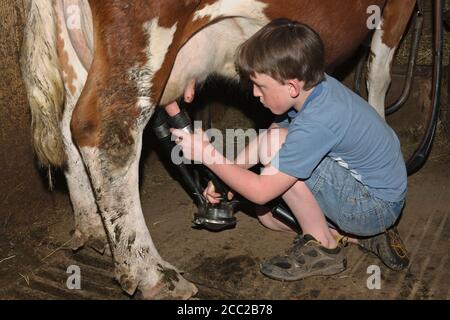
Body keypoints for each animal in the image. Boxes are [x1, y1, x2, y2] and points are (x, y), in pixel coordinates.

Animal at [20, 0, 414, 300]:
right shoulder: (397, 7)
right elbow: (379, 75)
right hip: (142, 40)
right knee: (107, 131)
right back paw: (153, 274)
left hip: (74, 49)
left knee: (69, 125)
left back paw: (94, 229)